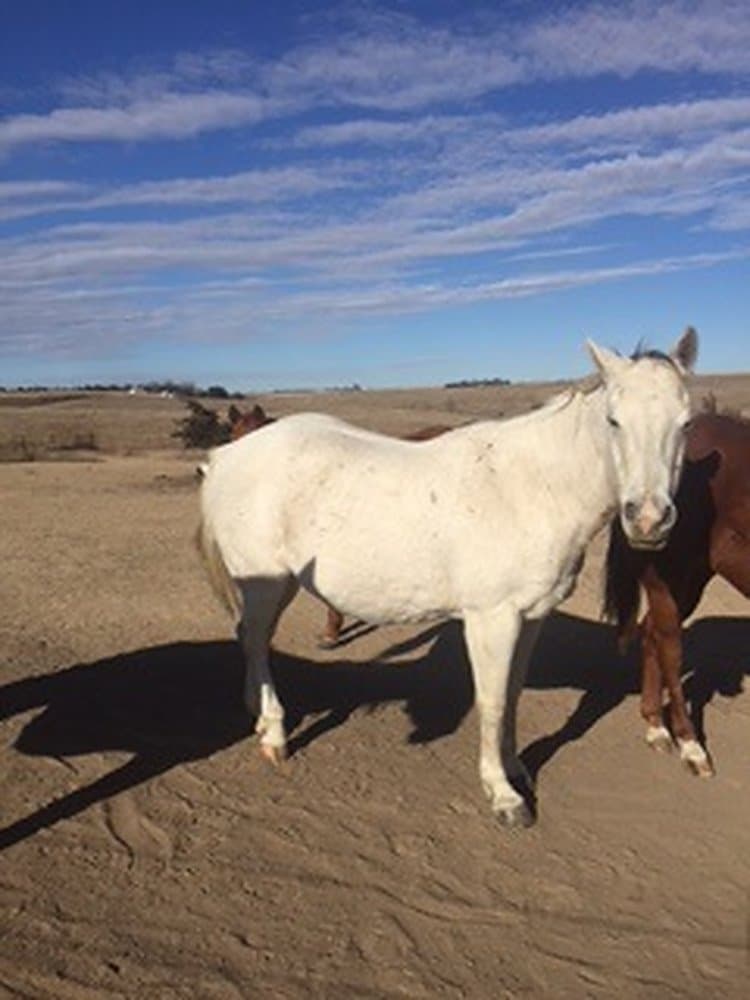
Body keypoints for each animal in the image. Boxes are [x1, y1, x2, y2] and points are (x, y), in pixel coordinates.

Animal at [198, 329, 697, 828]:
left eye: (686, 423)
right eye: (614, 421)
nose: (649, 520)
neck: (531, 488)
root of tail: (226, 456)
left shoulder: (531, 617)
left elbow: (513, 693)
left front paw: (516, 769)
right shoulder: (491, 620)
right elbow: (493, 702)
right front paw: (503, 795)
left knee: (251, 638)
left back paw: (257, 713)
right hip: (265, 583)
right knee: (257, 640)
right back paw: (274, 734)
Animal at [603, 408, 750, 776]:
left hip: (691, 581)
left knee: (651, 633)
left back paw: (656, 725)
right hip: (667, 580)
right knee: (670, 648)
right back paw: (689, 744)